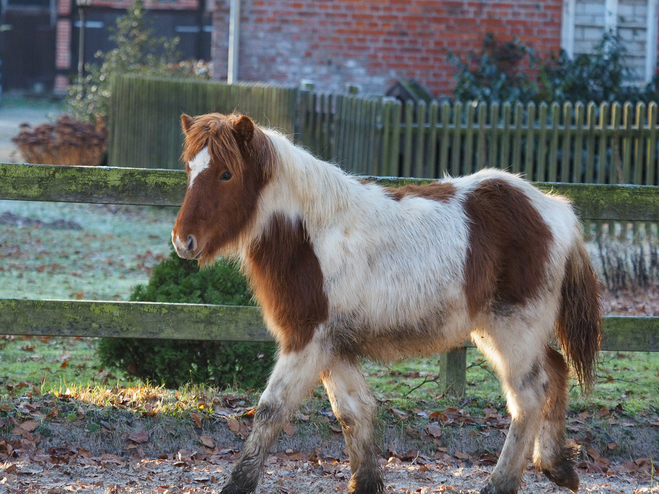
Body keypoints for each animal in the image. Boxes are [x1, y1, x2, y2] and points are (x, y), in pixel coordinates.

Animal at [171, 113, 604, 494]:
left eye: (226, 174)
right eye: (191, 170)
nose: (182, 241)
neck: (310, 235)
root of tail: (555, 210)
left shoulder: (307, 340)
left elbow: (270, 410)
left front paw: (237, 483)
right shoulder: (335, 346)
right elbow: (354, 411)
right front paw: (365, 484)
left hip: (513, 330)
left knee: (528, 398)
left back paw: (501, 483)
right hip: (504, 330)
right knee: (555, 371)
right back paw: (558, 467)